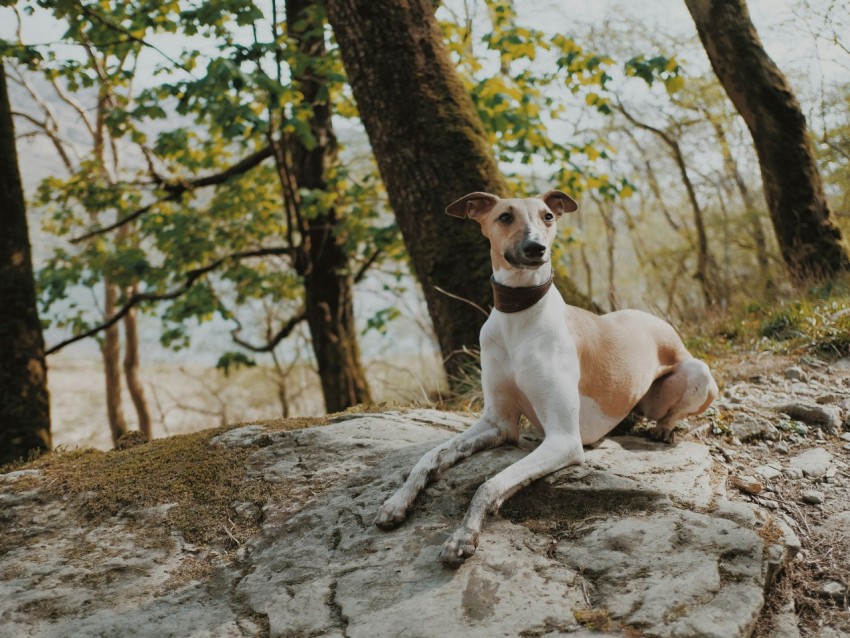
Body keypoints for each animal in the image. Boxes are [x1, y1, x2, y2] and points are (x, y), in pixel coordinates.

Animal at [374, 188, 712, 568]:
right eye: (505, 216)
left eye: (548, 216)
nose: (536, 248)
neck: (518, 317)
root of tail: (657, 321)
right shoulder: (498, 422)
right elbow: (430, 458)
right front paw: (397, 501)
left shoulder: (563, 440)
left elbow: (489, 484)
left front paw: (464, 534)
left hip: (699, 374)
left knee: (674, 410)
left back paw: (663, 430)